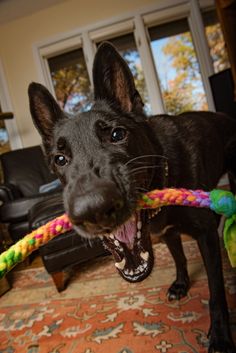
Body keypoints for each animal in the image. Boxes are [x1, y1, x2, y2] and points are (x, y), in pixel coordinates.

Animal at [28, 42, 236, 350]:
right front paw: (181, 284)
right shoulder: (168, 233)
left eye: (117, 134)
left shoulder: (206, 236)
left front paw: (221, 335)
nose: (93, 211)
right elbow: (179, 257)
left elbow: (216, 291)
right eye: (60, 159)